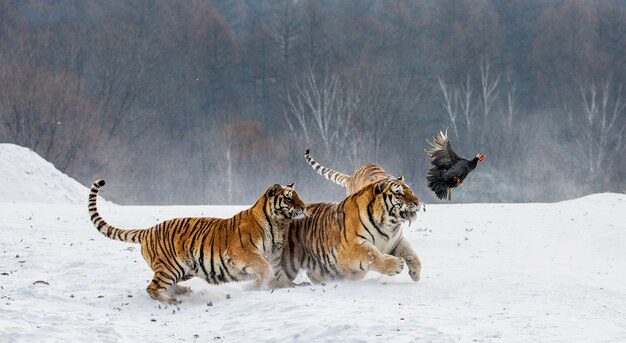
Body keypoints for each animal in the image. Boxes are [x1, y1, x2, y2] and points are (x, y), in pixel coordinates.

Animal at [87, 180, 304, 304]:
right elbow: (265, 269)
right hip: (170, 267)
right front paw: (261, 286)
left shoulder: (274, 257)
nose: (303, 207)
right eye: (288, 199)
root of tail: (148, 230)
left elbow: (280, 273)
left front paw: (293, 286)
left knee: (166, 285)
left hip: (183, 270)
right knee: (152, 288)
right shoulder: (245, 253)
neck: (279, 225)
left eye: (298, 196)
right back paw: (171, 301)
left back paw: (183, 291)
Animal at [276, 177, 422, 288]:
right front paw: (396, 265)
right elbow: (372, 254)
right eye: (399, 194)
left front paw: (415, 273)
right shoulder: (352, 246)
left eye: (411, 190)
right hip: (288, 263)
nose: (417, 202)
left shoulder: (395, 241)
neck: (389, 225)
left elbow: (412, 253)